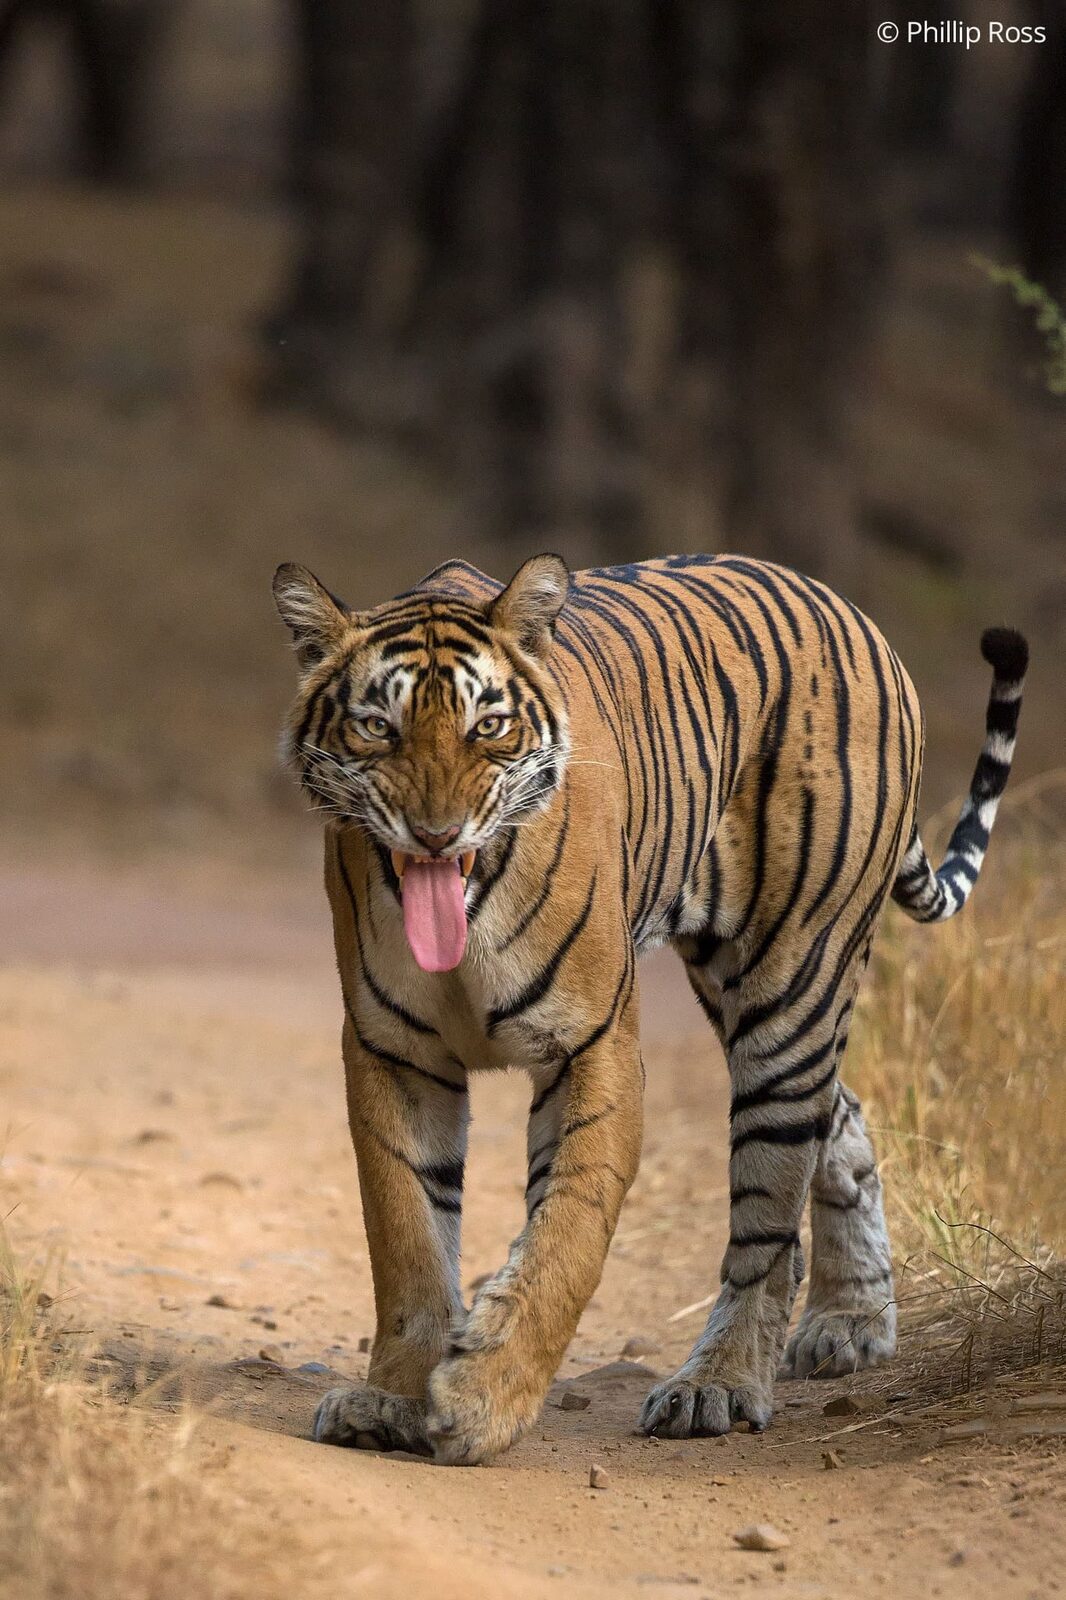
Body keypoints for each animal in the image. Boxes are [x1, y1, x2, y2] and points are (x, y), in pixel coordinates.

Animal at [272, 551, 1027, 1465]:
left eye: (489, 727)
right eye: (377, 728)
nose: (436, 835)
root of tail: (851, 610)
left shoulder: (592, 1045)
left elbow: (568, 1230)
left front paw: (484, 1397)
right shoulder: (394, 1052)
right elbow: (408, 1234)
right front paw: (392, 1399)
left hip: (792, 987)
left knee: (769, 1219)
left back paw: (720, 1387)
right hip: (742, 988)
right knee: (840, 1114)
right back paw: (852, 1321)